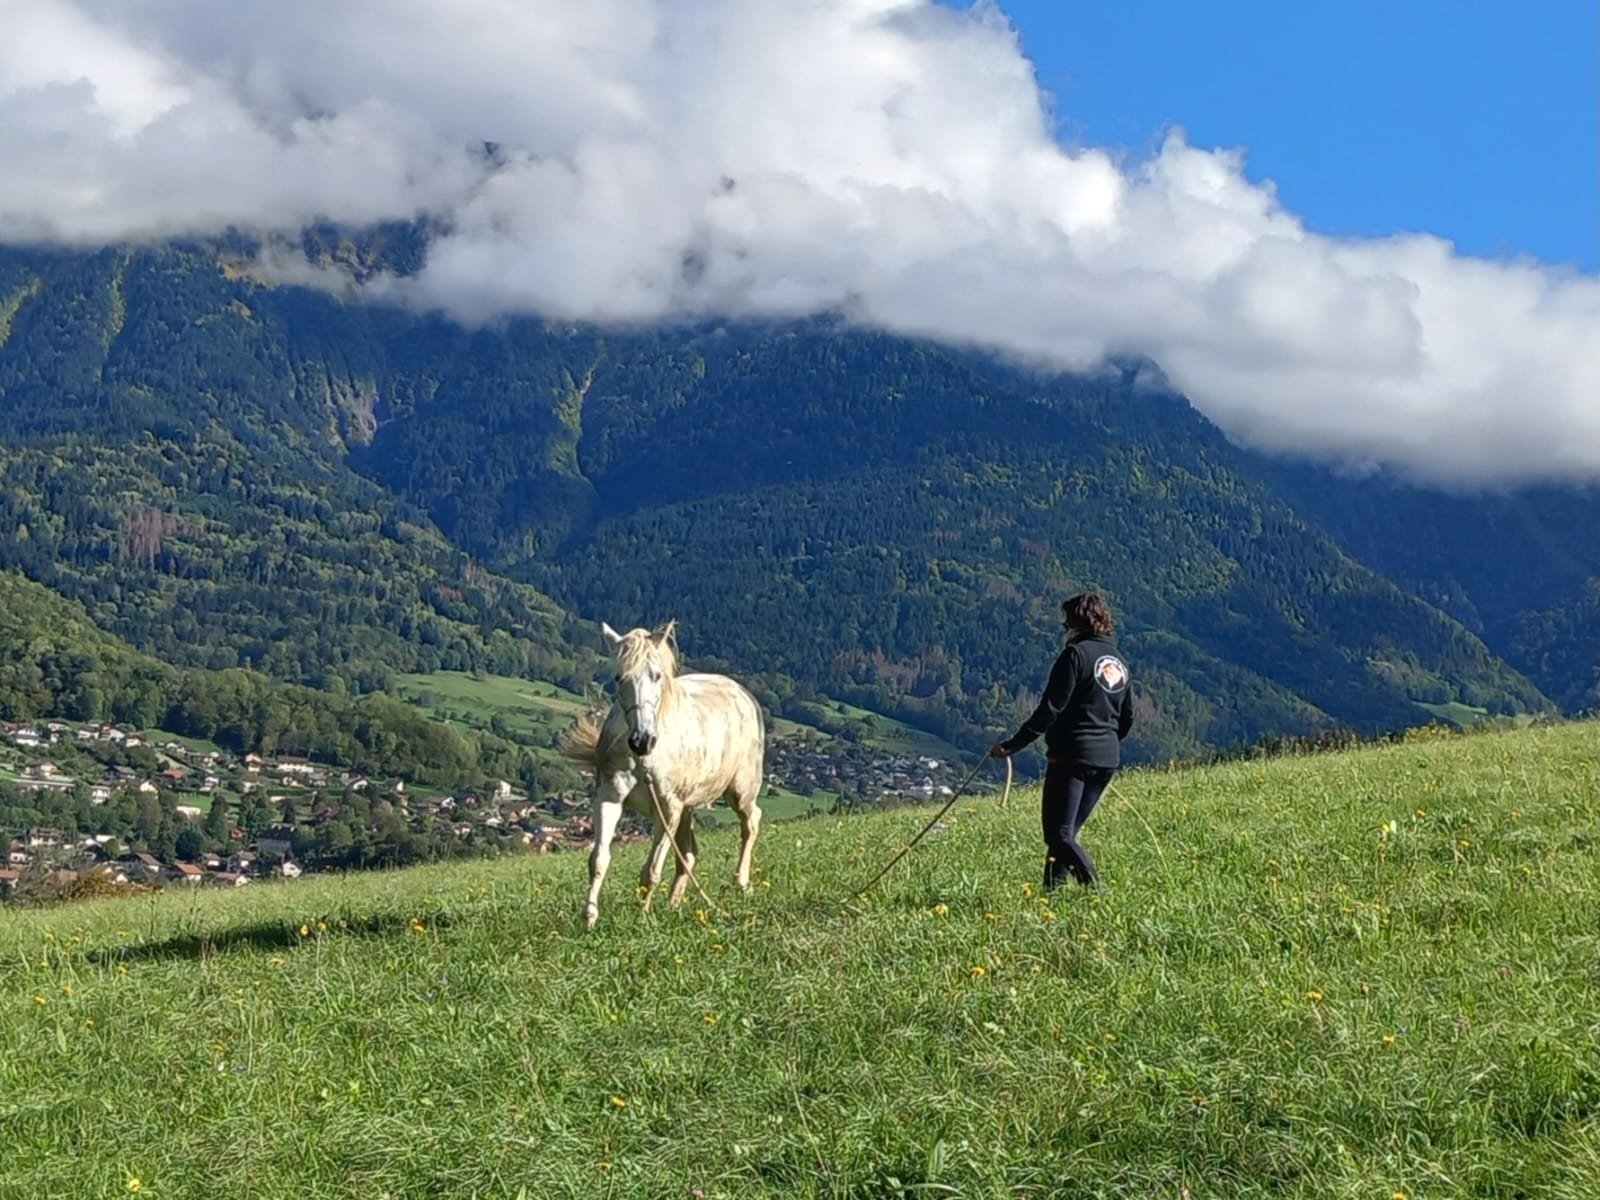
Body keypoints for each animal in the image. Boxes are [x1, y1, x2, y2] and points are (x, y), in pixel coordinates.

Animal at [559, 620, 765, 931]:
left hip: (740, 791)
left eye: (656, 676)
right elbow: (598, 859)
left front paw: (642, 917)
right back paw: (673, 906)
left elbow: (652, 870)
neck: (642, 759)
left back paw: (741, 883)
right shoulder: (609, 798)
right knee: (689, 855)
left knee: (751, 822)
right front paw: (589, 918)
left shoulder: (667, 808)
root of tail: (743, 693)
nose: (642, 740)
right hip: (688, 808)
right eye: (619, 677)